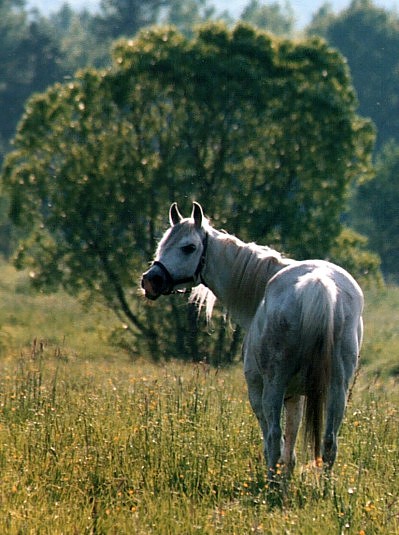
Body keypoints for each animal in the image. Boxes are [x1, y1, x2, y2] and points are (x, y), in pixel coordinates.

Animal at [142, 201, 364, 482]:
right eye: (162, 244)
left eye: (189, 247)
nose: (150, 280)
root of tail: (319, 286)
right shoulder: (296, 396)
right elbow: (291, 441)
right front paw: (288, 474)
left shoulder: (259, 393)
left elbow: (275, 440)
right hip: (337, 388)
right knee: (329, 442)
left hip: (273, 388)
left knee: (274, 438)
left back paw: (273, 485)